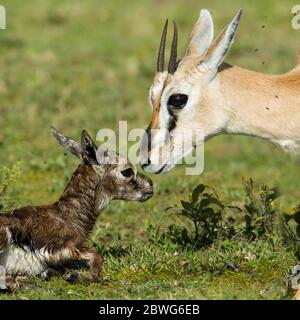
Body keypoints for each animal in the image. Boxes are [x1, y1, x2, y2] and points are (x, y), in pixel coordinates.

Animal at [0, 127, 152, 288]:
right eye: (127, 171)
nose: (150, 185)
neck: (67, 215)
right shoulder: (63, 248)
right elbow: (95, 254)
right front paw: (75, 277)